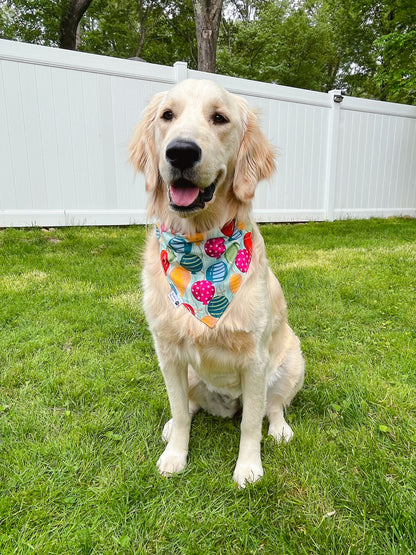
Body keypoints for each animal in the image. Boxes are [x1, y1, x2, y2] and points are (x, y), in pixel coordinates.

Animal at [128, 78, 304, 486]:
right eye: (167, 115)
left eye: (219, 118)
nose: (180, 152)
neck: (199, 243)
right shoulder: (168, 353)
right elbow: (179, 411)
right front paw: (175, 456)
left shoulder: (254, 360)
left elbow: (251, 424)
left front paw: (249, 466)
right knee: (190, 406)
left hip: (293, 360)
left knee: (273, 406)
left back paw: (280, 429)